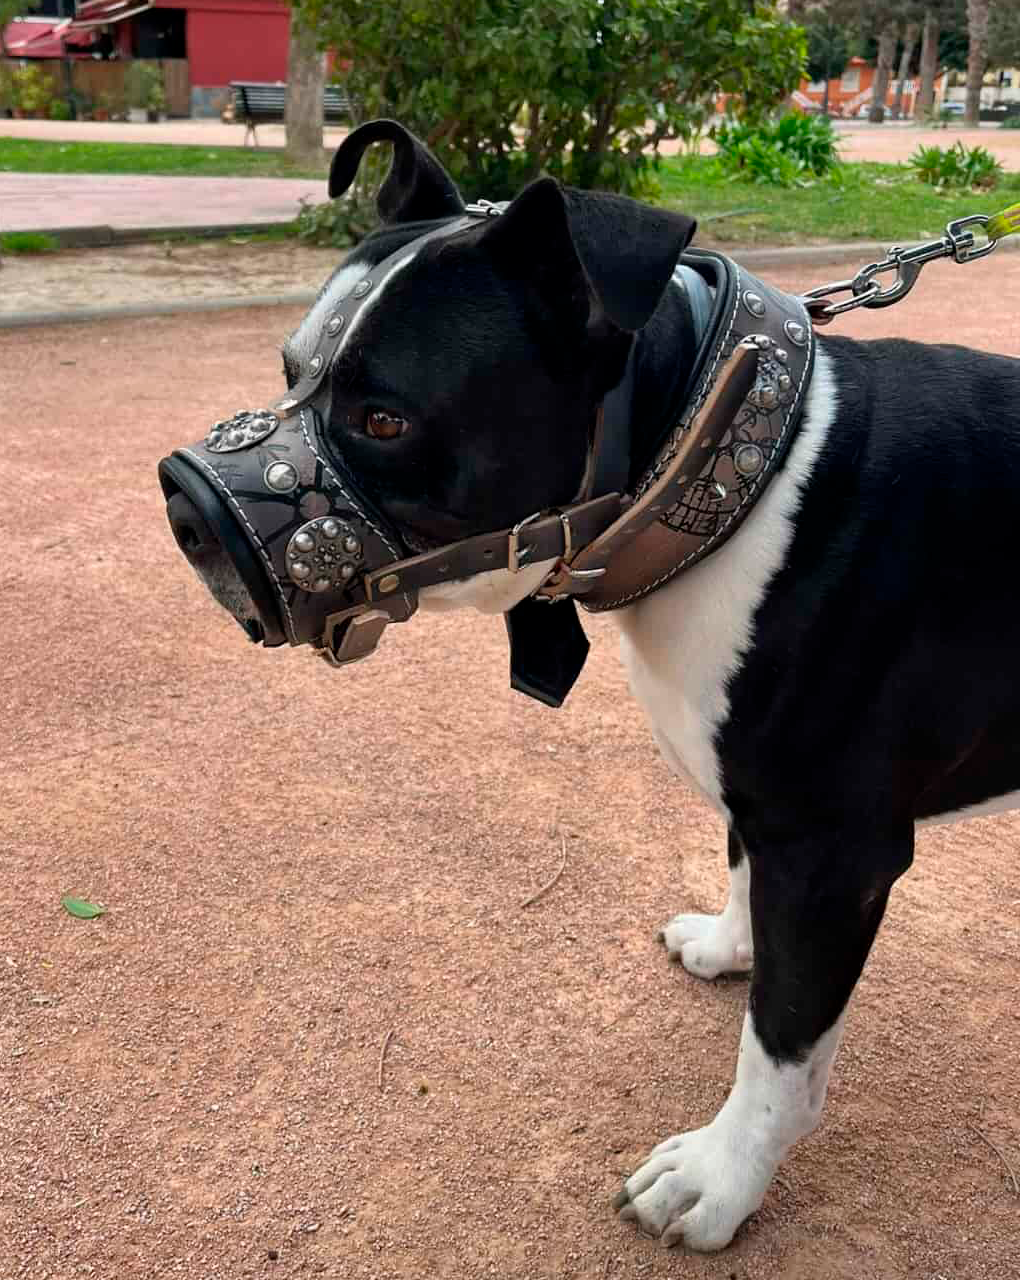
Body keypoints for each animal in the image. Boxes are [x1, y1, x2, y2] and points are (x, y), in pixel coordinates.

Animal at [172, 129, 1018, 1249]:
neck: (731, 466)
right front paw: (734, 946)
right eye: (290, 371)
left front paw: (720, 1178)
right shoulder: (765, 816)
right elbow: (745, 881)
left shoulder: (834, 854)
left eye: (385, 418)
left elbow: (780, 1051)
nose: (183, 501)